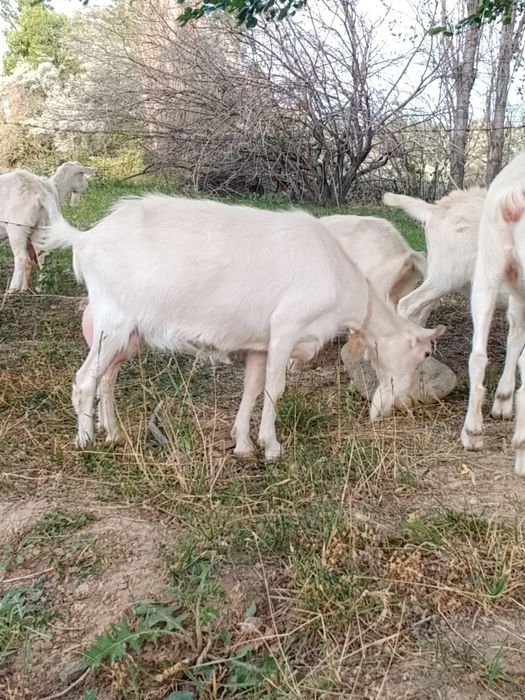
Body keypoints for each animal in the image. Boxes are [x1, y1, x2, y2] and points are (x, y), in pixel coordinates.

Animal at [0, 161, 96, 292]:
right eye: (81, 174)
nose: (87, 187)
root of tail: (40, 193)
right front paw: (26, 288)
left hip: (17, 228)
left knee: (21, 258)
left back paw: (12, 289)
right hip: (40, 226)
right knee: (41, 255)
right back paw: (40, 287)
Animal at [40, 194, 445, 459]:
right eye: (425, 353)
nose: (402, 404)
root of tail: (85, 237)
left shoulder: (260, 344)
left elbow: (251, 388)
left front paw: (245, 444)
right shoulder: (286, 328)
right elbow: (274, 389)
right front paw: (272, 447)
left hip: (126, 334)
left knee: (107, 376)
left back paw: (114, 434)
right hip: (113, 322)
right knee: (85, 379)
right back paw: (85, 440)